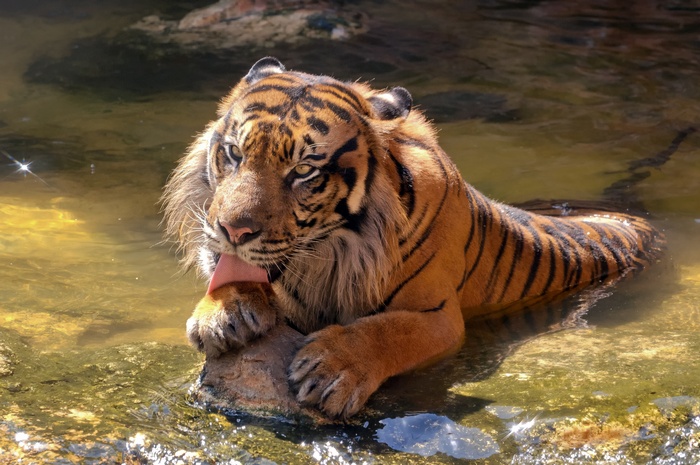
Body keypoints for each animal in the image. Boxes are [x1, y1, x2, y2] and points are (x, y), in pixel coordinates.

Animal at [162, 57, 664, 419]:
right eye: (234, 153)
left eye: (303, 171)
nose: (233, 230)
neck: (328, 255)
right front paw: (224, 313)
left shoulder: (439, 316)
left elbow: (388, 330)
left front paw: (331, 369)